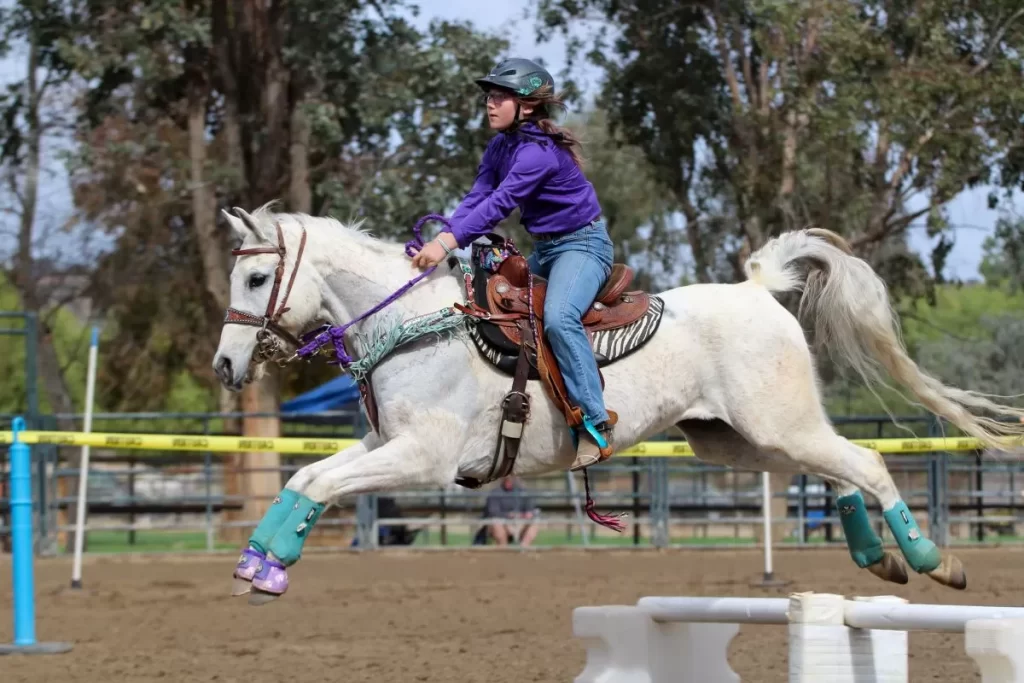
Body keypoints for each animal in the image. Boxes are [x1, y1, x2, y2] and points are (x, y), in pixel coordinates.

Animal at [211, 202, 1019, 602]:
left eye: (256, 278)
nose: (224, 364)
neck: (415, 324)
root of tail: (758, 290)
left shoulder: (421, 458)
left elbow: (320, 485)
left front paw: (270, 566)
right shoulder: (384, 446)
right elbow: (305, 477)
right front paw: (256, 564)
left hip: (778, 425)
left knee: (869, 463)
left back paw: (931, 560)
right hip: (740, 438)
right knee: (837, 474)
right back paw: (877, 559)